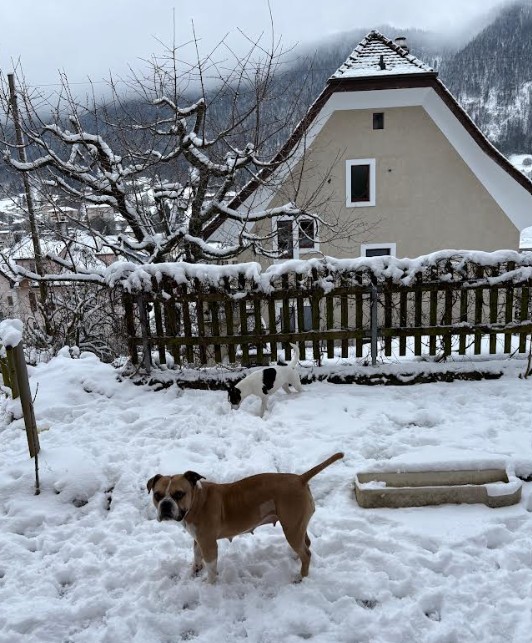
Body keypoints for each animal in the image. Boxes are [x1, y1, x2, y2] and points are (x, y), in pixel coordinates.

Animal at [147, 452, 343, 583]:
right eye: (157, 495)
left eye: (179, 494)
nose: (165, 504)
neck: (197, 501)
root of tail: (300, 479)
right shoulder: (198, 539)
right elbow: (196, 554)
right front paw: (195, 570)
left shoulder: (209, 544)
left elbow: (211, 568)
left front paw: (209, 586)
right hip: (297, 526)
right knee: (306, 544)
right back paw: (296, 558)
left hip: (292, 528)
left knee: (307, 553)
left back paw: (300, 577)